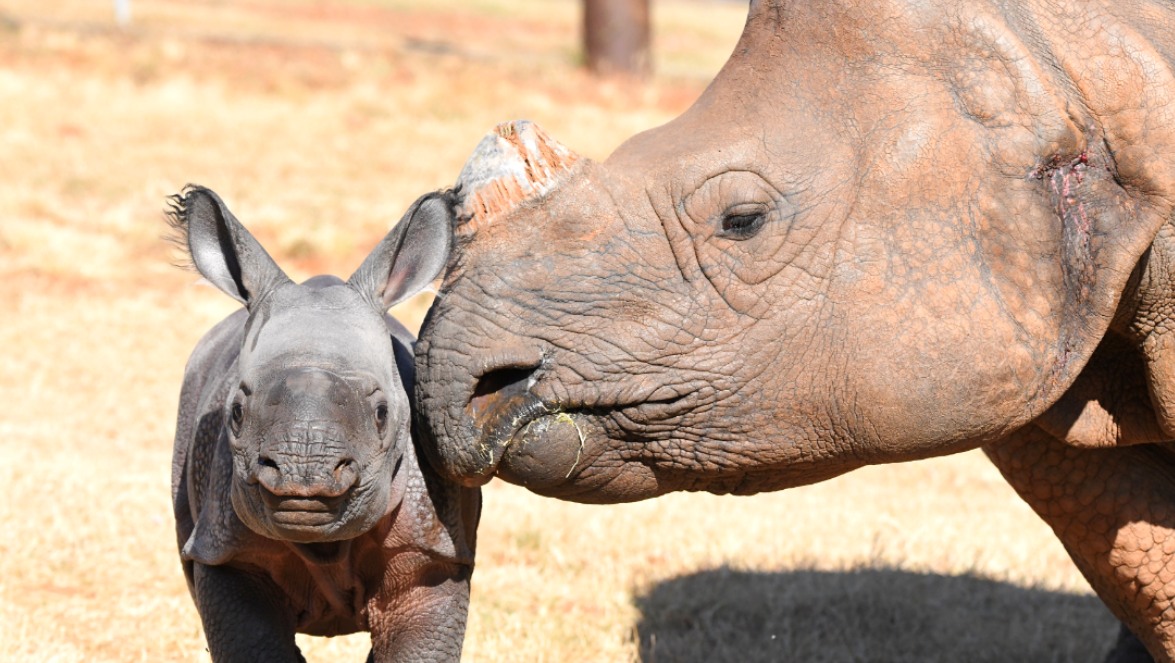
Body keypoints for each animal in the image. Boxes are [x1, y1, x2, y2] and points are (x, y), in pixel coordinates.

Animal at [171, 186, 474, 663]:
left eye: (382, 414)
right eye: (236, 412)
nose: (303, 474)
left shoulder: (434, 553)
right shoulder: (225, 549)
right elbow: (254, 644)